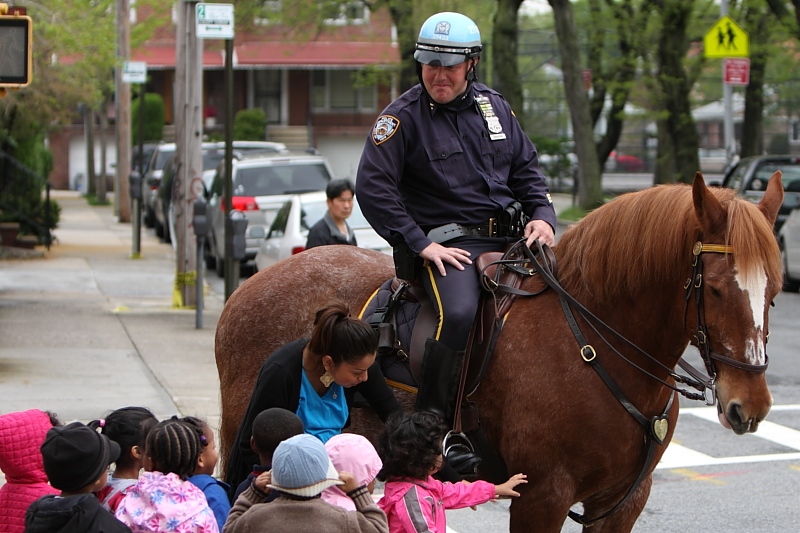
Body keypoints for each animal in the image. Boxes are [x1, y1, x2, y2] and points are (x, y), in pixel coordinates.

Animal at [214, 172, 780, 528]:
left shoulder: (622, 503)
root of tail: (242, 291)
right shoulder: (541, 497)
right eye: (715, 290)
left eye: (774, 289)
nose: (749, 407)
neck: (596, 344)